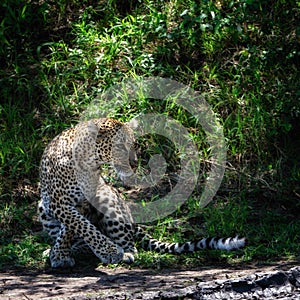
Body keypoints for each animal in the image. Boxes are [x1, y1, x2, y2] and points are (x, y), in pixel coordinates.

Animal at [38, 117, 246, 268]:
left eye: (134, 145)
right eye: (120, 147)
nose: (135, 163)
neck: (88, 161)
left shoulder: (84, 201)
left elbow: (76, 227)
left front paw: (64, 255)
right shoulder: (58, 202)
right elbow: (80, 226)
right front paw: (60, 254)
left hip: (108, 199)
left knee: (128, 242)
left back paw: (125, 252)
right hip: (42, 207)